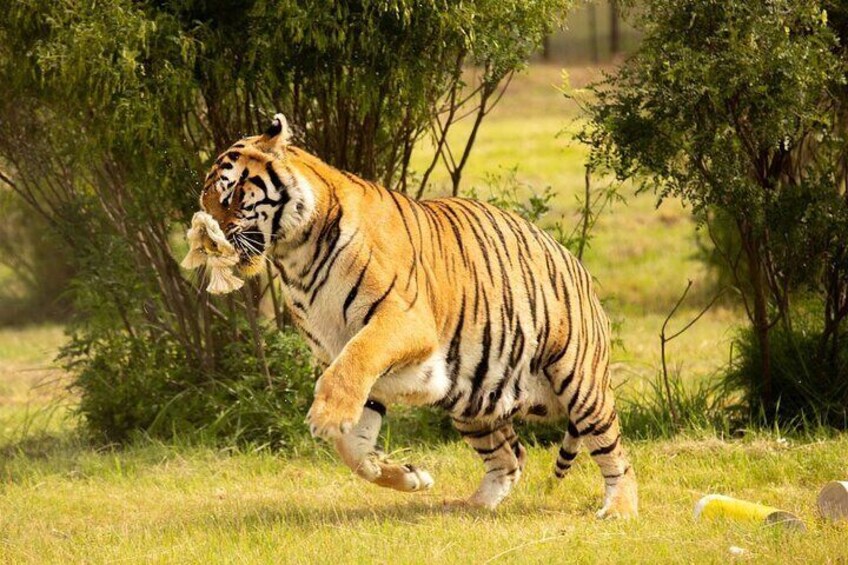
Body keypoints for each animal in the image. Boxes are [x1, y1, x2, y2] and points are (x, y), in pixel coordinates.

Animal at [195, 113, 640, 516]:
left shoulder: (400, 321)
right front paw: (406, 475)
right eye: (206, 203)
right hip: (474, 401)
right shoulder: (343, 357)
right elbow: (351, 447)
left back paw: (618, 509)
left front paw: (325, 416)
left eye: (230, 197)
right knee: (510, 456)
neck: (296, 256)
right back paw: (471, 506)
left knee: (616, 455)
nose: (209, 242)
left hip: (580, 382)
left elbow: (353, 364)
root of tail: (572, 260)